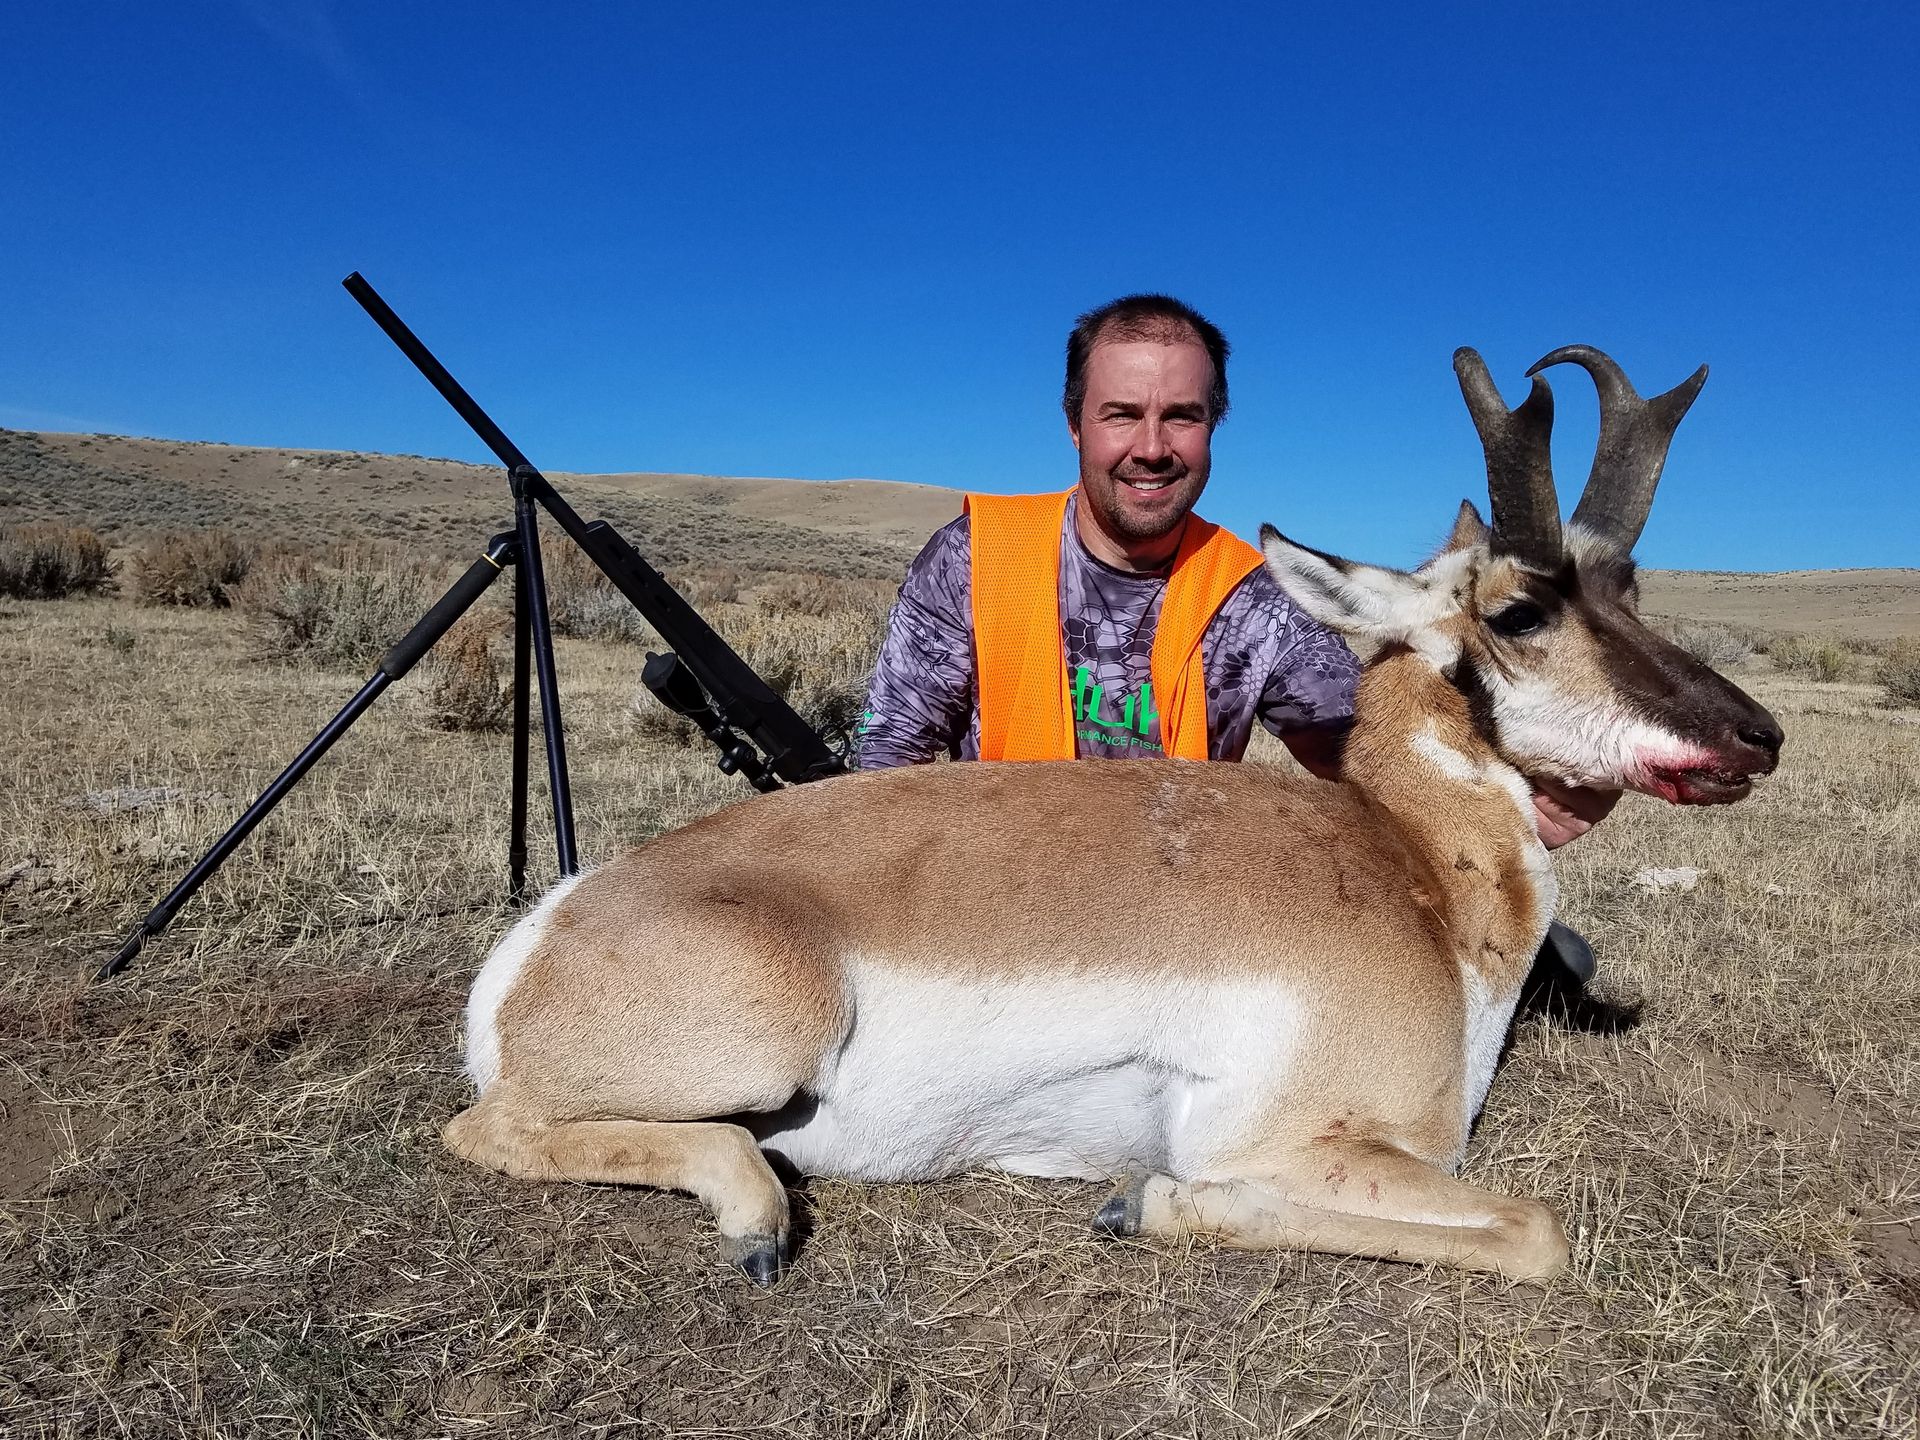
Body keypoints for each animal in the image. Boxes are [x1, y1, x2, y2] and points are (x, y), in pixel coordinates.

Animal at [445, 346, 1783, 1285]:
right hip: (773, 1034)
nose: (1758, 737)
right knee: (485, 1129)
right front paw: (1146, 1204)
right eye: (1518, 611)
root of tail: (548, 929)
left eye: (1630, 589)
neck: (1408, 872)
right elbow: (1535, 1228)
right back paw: (756, 1216)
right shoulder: (1300, 1142)